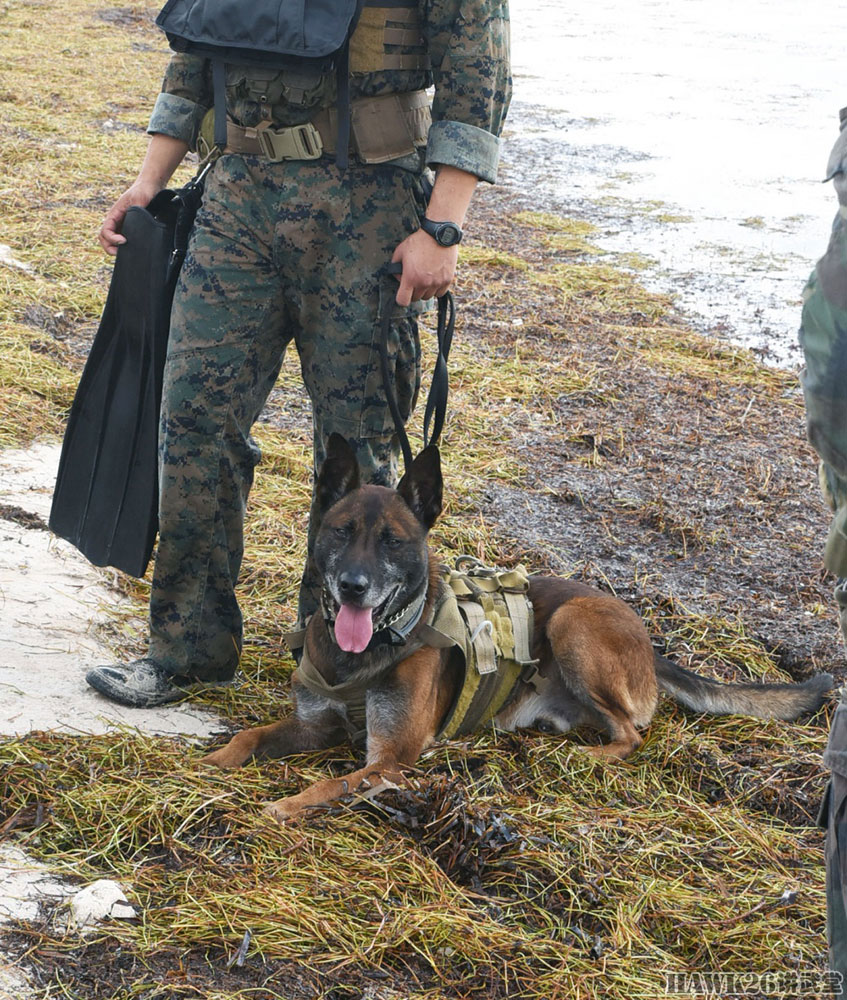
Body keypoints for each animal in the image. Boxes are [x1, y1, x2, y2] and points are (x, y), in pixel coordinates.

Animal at [204, 436, 836, 820]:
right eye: (341, 531)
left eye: (393, 541)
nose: (354, 586)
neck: (362, 656)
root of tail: (649, 645)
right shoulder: (317, 726)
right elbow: (250, 736)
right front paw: (213, 761)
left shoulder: (390, 760)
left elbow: (332, 784)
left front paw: (285, 806)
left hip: (574, 625)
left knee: (633, 734)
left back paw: (589, 758)